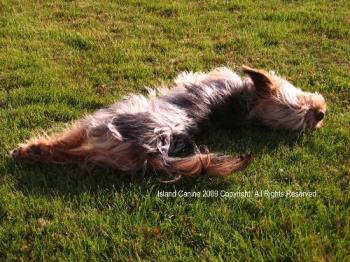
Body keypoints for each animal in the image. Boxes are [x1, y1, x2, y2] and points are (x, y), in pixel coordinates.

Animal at [11, 66, 328, 183]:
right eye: (302, 110)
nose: (321, 113)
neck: (243, 103)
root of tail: (153, 152)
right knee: (72, 156)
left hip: (104, 121)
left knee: (66, 144)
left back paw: (29, 149)